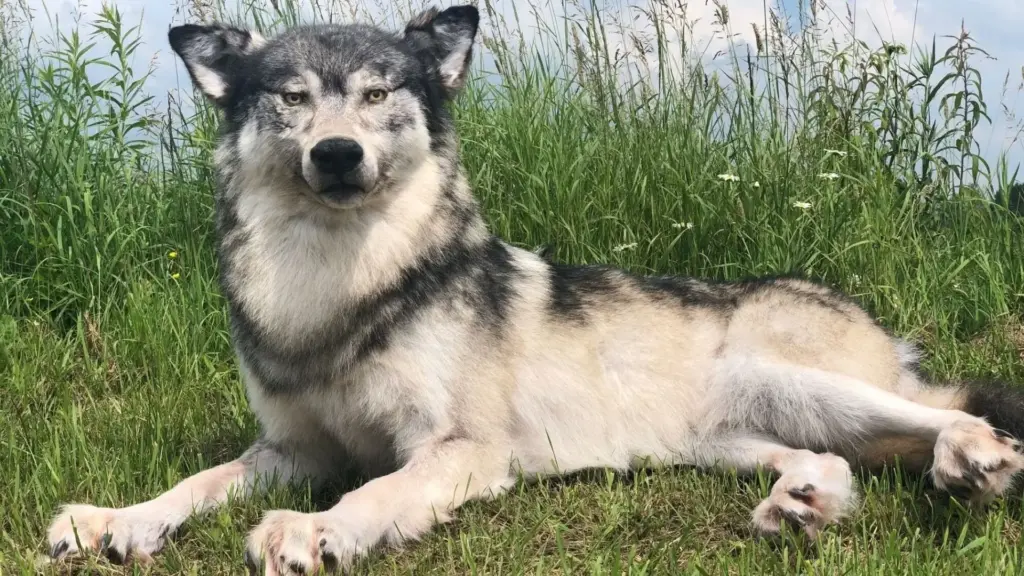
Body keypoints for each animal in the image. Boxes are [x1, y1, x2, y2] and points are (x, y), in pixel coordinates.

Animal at [45, 5, 1024, 574]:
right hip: (723, 440)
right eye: (290, 97)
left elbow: (374, 494)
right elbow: (198, 481)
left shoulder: (458, 449)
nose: (337, 154)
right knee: (833, 462)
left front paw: (312, 532)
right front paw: (112, 521)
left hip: (793, 381)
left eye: (377, 93)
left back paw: (971, 460)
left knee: (956, 418)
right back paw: (801, 507)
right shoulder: (293, 449)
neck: (335, 286)